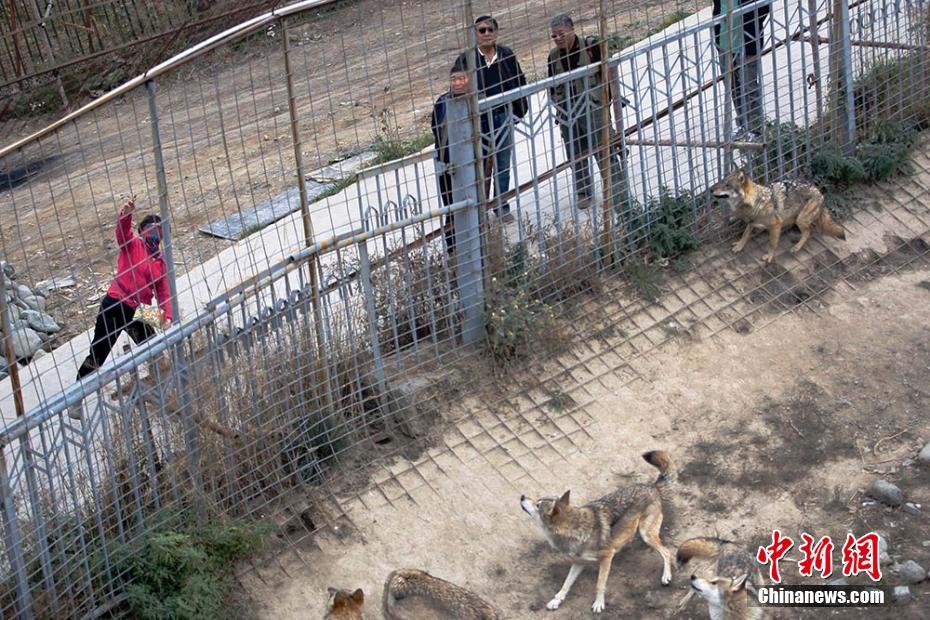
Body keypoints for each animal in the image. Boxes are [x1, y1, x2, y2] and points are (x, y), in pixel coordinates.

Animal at [516, 450, 676, 616]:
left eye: (538, 505)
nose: (522, 496)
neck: (575, 528)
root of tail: (652, 486)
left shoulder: (607, 557)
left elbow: (600, 584)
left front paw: (599, 604)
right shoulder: (578, 562)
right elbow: (565, 584)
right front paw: (556, 601)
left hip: (646, 534)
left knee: (667, 552)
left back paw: (666, 576)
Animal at [708, 171, 844, 262]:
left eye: (727, 185)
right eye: (722, 181)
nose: (710, 189)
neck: (756, 202)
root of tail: (820, 192)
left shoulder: (776, 225)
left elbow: (772, 243)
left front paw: (769, 256)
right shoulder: (752, 222)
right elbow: (745, 234)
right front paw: (739, 246)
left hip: (800, 219)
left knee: (809, 231)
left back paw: (796, 247)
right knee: (810, 230)